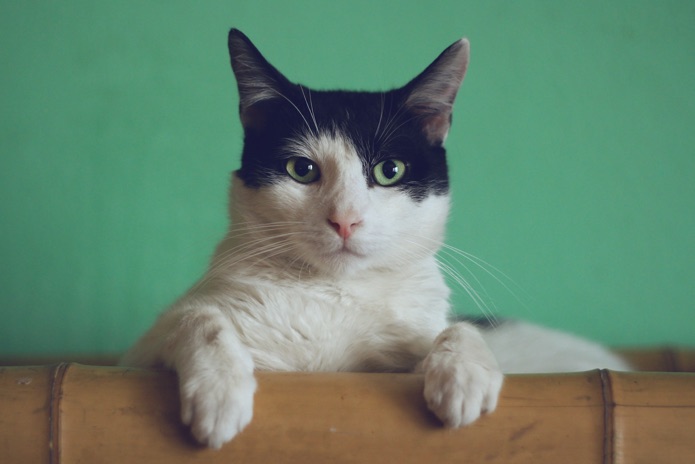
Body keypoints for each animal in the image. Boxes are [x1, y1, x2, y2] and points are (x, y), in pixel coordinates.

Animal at [122, 29, 632, 450]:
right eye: (301, 169)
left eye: (390, 171)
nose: (345, 220)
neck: (333, 295)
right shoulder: (140, 354)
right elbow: (199, 318)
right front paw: (220, 392)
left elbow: (454, 329)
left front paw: (463, 375)